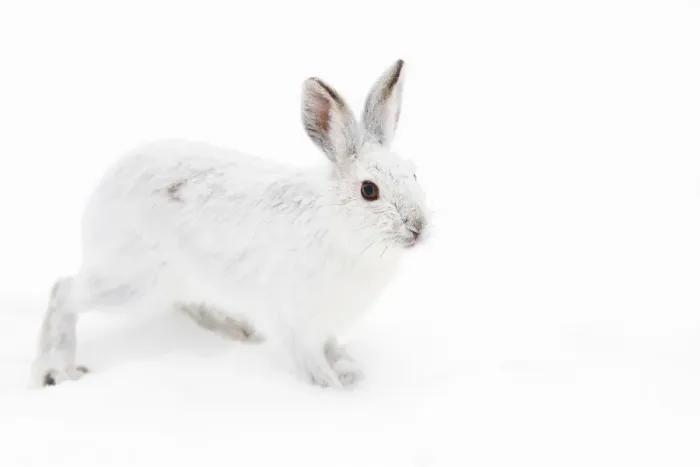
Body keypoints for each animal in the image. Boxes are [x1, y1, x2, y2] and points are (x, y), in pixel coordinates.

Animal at [30, 58, 429, 390]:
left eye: (413, 173)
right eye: (368, 190)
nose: (418, 228)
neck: (340, 229)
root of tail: (104, 187)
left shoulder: (322, 323)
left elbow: (331, 346)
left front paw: (350, 371)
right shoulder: (293, 319)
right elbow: (310, 360)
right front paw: (333, 388)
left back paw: (239, 329)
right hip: (132, 279)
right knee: (64, 291)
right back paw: (56, 372)